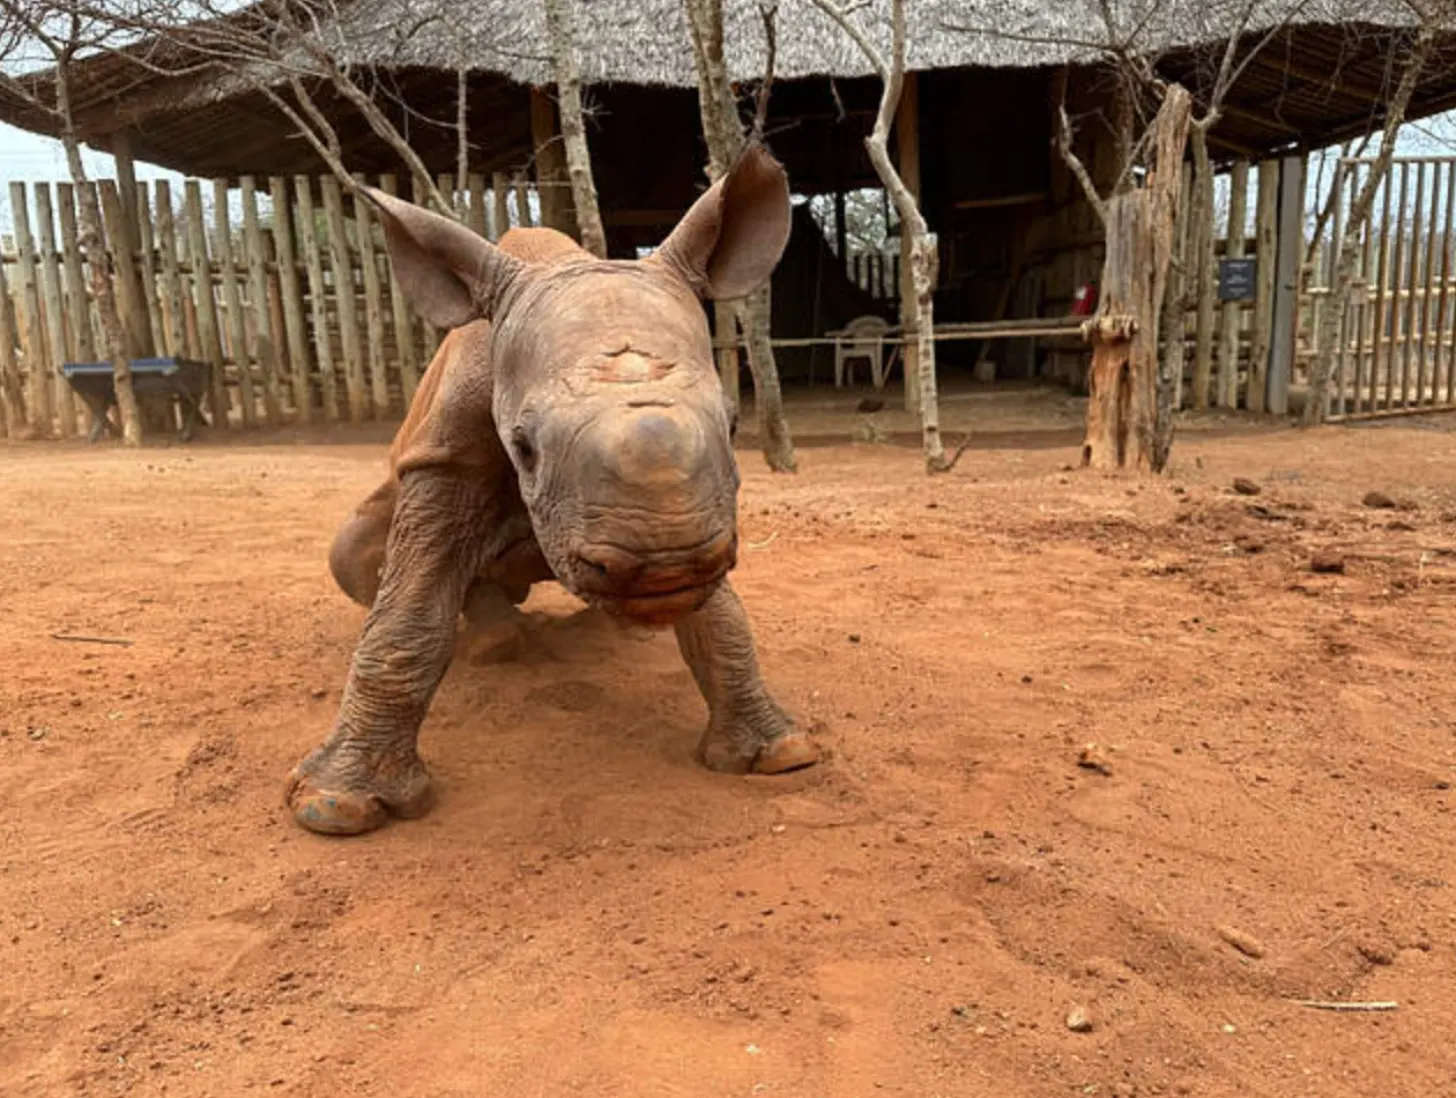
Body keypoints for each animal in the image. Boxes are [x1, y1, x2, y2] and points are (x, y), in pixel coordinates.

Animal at [287, 144, 821, 835]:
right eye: (524, 448)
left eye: (733, 423)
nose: (666, 568)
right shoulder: (445, 457)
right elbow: (406, 615)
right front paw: (335, 808)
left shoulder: (698, 509)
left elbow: (722, 616)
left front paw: (779, 755)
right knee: (355, 557)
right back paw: (499, 644)